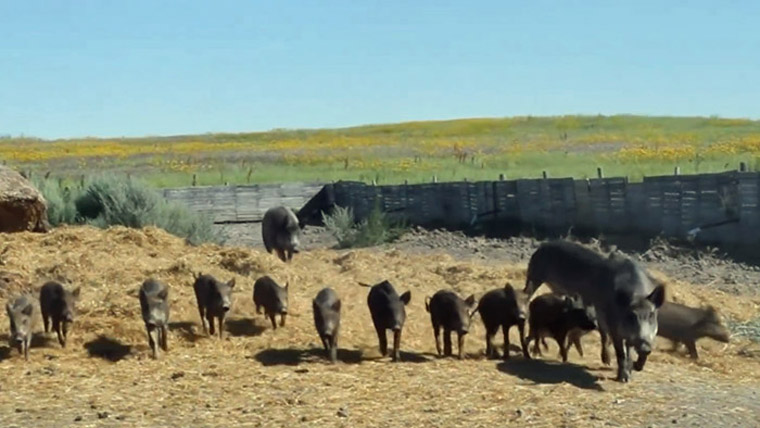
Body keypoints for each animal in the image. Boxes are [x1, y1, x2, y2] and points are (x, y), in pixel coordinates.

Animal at [524, 240, 665, 382]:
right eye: (631, 316)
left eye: (652, 315)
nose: (645, 347)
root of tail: (542, 246)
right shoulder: (614, 327)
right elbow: (620, 353)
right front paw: (623, 379)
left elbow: (633, 352)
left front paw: (635, 368)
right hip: (534, 275)